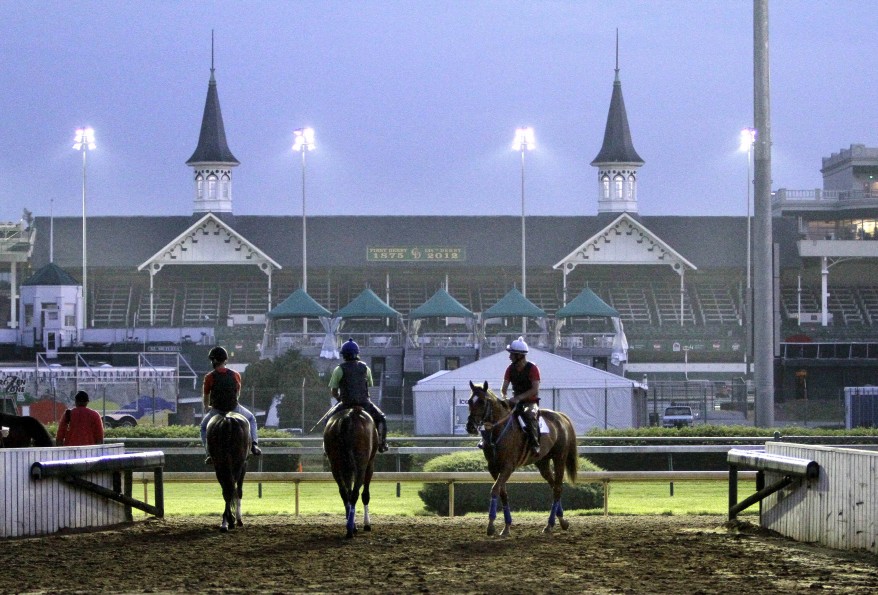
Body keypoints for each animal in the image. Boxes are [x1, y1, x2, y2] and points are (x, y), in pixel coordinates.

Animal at [324, 406, 378, 540]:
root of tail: (347, 417)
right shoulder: (370, 464)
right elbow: (365, 495)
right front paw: (367, 524)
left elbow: (347, 490)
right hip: (361, 466)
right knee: (355, 494)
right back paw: (350, 529)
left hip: (336, 466)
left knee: (344, 493)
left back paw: (351, 526)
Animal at [464, 384, 580, 536]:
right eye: (469, 401)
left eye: (482, 402)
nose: (470, 426)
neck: (499, 430)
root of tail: (561, 416)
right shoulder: (493, 468)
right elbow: (503, 493)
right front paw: (506, 527)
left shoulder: (508, 467)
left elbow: (495, 490)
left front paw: (491, 525)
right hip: (542, 463)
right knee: (554, 486)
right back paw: (561, 521)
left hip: (559, 458)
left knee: (558, 488)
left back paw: (550, 524)